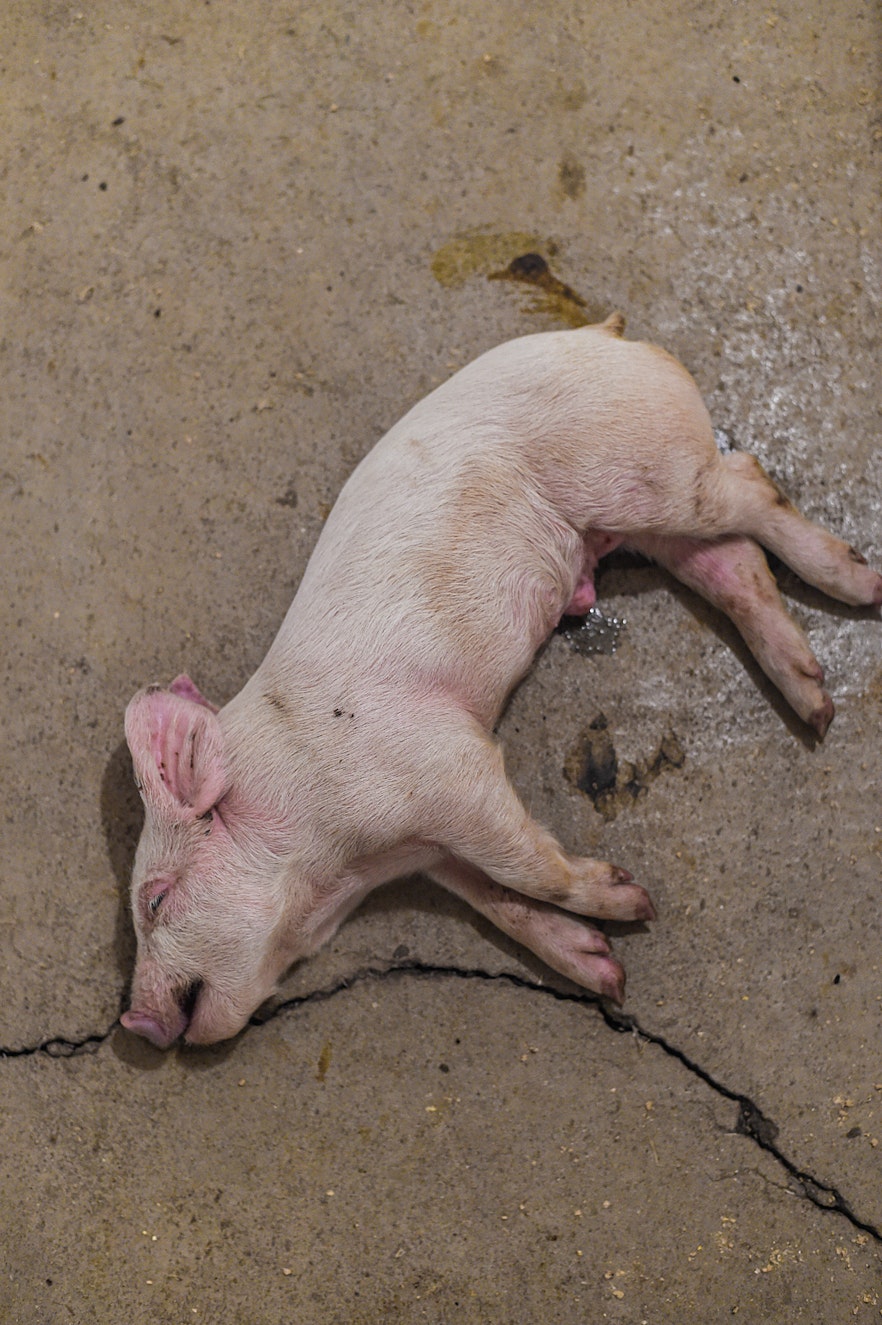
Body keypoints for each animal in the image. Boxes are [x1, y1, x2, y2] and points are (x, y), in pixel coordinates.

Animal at [120, 315, 882, 1048]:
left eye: (154, 899)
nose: (134, 1021)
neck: (344, 858)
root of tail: (606, 337)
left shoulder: (452, 770)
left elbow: (527, 867)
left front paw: (636, 902)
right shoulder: (429, 851)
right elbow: (498, 898)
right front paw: (605, 974)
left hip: (649, 475)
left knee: (746, 481)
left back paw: (862, 589)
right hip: (649, 520)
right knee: (733, 565)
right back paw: (816, 706)